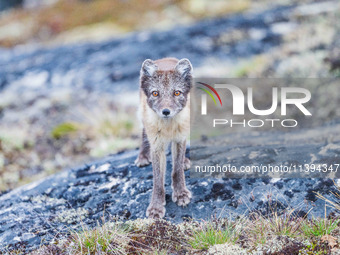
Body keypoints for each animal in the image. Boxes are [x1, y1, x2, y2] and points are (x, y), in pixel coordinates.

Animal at [135, 57, 194, 219]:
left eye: (176, 93)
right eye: (155, 93)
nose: (166, 111)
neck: (168, 128)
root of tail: (165, 59)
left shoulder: (180, 139)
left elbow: (177, 170)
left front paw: (180, 194)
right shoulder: (157, 146)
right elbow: (157, 180)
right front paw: (156, 207)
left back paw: (185, 161)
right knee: (144, 132)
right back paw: (143, 156)